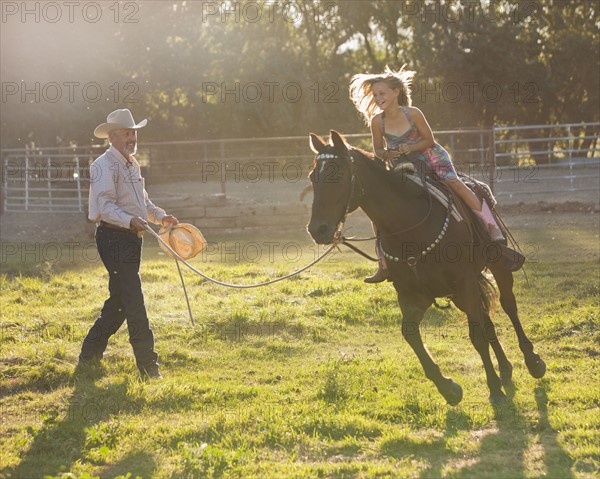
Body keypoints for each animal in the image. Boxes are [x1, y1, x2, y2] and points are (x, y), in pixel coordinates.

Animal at [308, 131, 548, 404]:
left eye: (337, 175)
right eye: (312, 177)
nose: (318, 230)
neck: (409, 227)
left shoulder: (463, 282)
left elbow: (476, 336)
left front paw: (494, 389)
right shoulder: (413, 294)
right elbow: (411, 334)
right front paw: (449, 388)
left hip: (495, 267)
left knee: (509, 306)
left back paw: (533, 362)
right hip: (460, 294)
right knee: (486, 318)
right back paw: (506, 369)